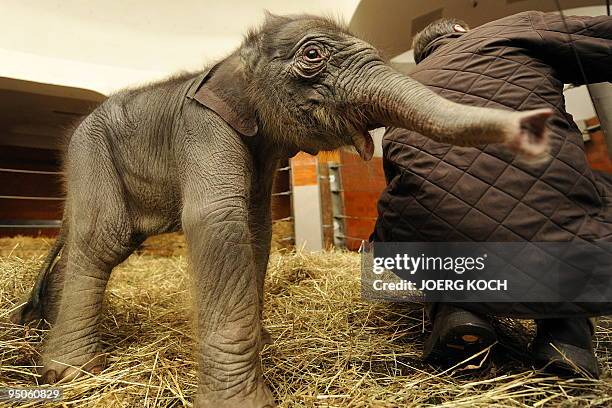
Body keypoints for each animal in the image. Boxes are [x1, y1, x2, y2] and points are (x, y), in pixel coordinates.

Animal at [11, 11, 552, 406]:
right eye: (312, 54)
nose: (539, 125)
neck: (234, 60)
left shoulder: (261, 150)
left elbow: (256, 228)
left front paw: (263, 348)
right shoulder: (202, 127)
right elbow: (217, 222)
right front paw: (243, 402)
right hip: (91, 151)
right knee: (103, 238)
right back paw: (69, 371)